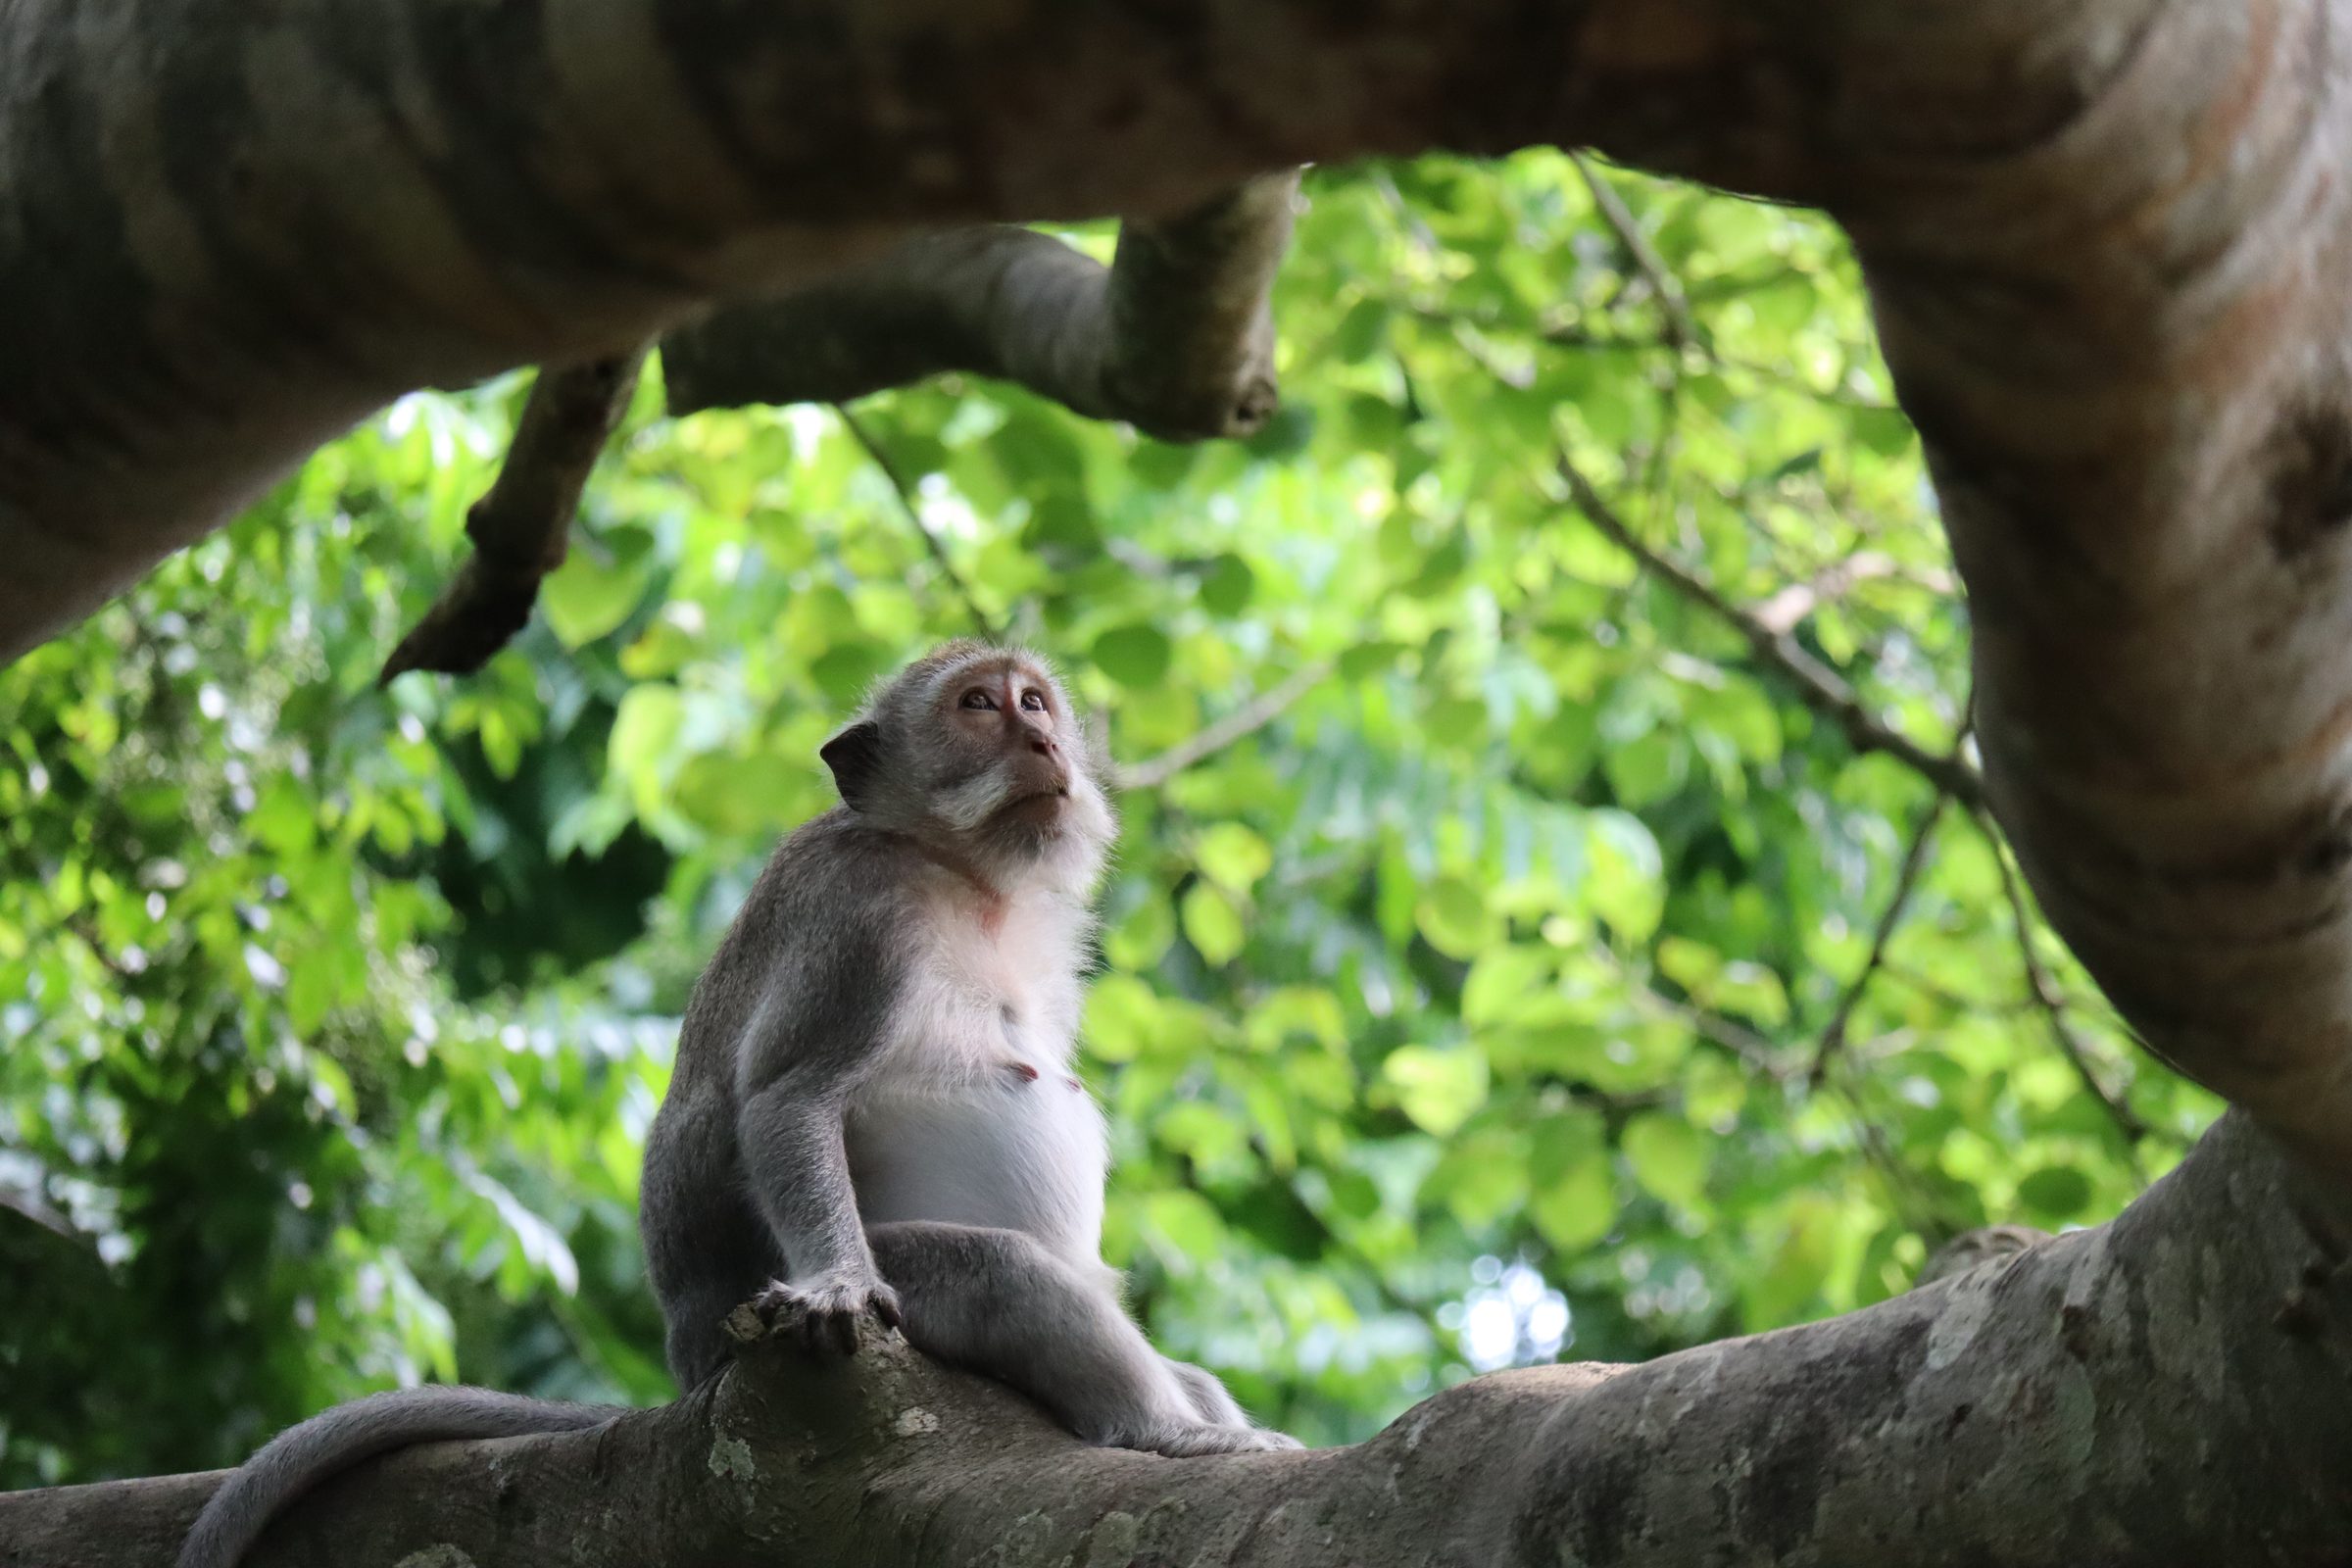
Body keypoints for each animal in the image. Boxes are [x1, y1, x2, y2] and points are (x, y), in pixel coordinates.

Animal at [177, 641, 1293, 1568]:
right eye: (979, 704)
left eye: (1035, 699)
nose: (1043, 740)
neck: (957, 873)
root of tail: (692, 1373)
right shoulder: (859, 917)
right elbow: (790, 1100)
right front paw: (839, 1281)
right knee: (1003, 1271)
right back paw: (1170, 1430)